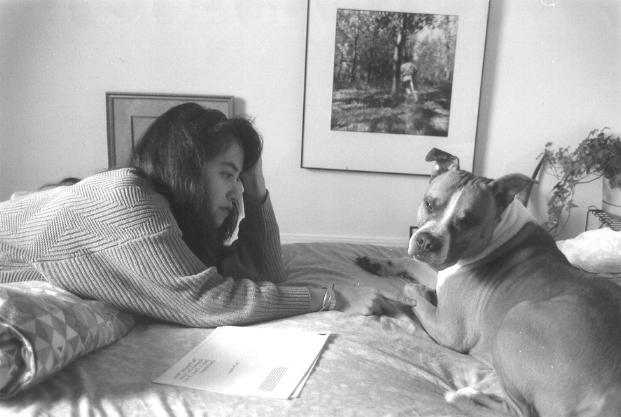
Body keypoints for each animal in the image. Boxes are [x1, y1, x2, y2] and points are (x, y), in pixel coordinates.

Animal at [357, 148, 621, 417]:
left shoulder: (449, 329)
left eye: (466, 221)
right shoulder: (441, 272)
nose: (426, 241)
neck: (498, 230)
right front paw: (377, 263)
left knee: (519, 411)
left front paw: (418, 292)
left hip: (517, 317)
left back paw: (463, 397)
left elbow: (409, 288)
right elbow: (409, 263)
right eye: (429, 203)